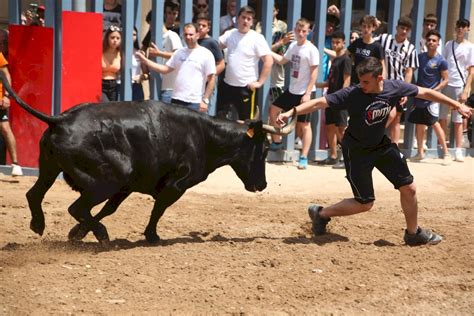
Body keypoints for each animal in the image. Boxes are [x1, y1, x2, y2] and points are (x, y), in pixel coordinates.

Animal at [0, 73, 296, 243]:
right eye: (264, 150)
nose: (262, 185)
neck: (203, 135)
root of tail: (60, 119)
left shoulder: (128, 187)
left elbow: (109, 209)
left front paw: (77, 234)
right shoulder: (176, 185)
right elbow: (158, 209)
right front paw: (152, 235)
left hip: (50, 169)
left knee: (35, 195)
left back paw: (39, 225)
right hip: (106, 180)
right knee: (77, 208)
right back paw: (102, 235)